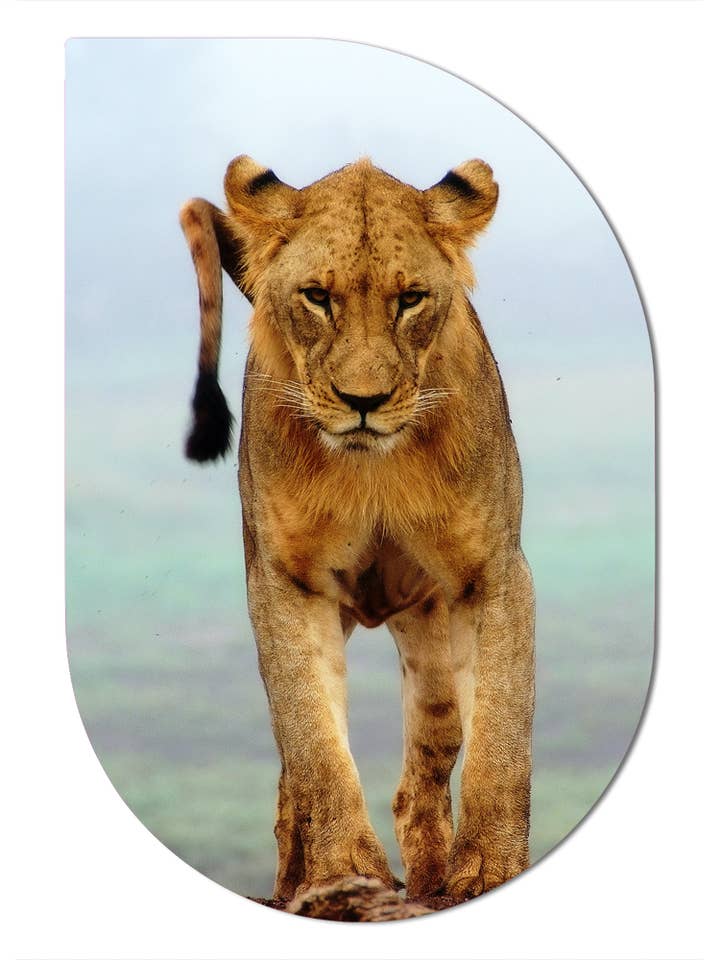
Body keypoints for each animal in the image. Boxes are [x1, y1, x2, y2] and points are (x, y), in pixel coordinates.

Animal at [179, 155, 535, 906]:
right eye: (317, 297)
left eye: (411, 300)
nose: (363, 402)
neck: (373, 469)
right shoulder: (287, 583)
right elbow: (314, 741)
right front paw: (344, 872)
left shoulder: (492, 574)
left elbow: (501, 732)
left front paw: (489, 871)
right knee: (293, 781)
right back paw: (295, 882)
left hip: (429, 644)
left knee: (426, 767)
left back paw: (430, 880)